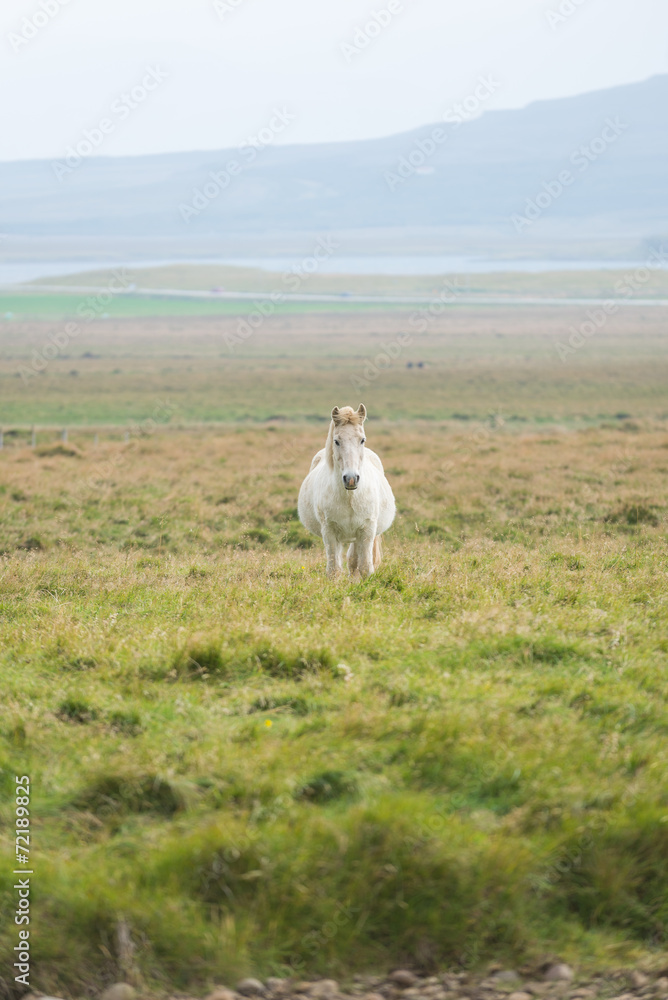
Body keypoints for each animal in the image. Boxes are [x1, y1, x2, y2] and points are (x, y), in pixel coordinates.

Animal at [298, 404, 396, 577]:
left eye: (362, 440)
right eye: (336, 441)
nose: (351, 478)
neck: (350, 497)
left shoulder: (366, 531)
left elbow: (364, 567)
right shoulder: (329, 532)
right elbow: (334, 570)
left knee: (353, 561)